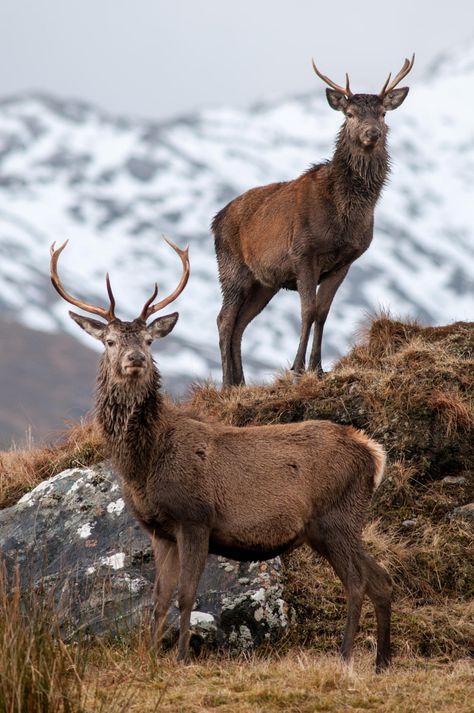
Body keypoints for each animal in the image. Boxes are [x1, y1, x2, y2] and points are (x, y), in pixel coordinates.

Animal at [50, 238, 392, 668]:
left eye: (148, 340)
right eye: (110, 341)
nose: (135, 359)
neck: (144, 464)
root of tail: (373, 454)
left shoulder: (195, 516)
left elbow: (186, 596)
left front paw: (180, 657)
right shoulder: (159, 530)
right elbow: (158, 599)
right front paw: (151, 655)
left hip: (337, 517)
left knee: (358, 581)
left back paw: (346, 656)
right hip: (337, 523)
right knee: (382, 579)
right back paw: (381, 661)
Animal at [213, 55, 412, 386]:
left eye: (383, 113)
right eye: (350, 113)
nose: (372, 133)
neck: (344, 216)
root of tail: (215, 220)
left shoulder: (344, 262)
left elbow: (322, 312)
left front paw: (318, 368)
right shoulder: (303, 252)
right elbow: (307, 310)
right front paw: (297, 367)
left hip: (264, 282)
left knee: (241, 324)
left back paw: (241, 383)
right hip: (231, 269)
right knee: (224, 320)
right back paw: (227, 383)